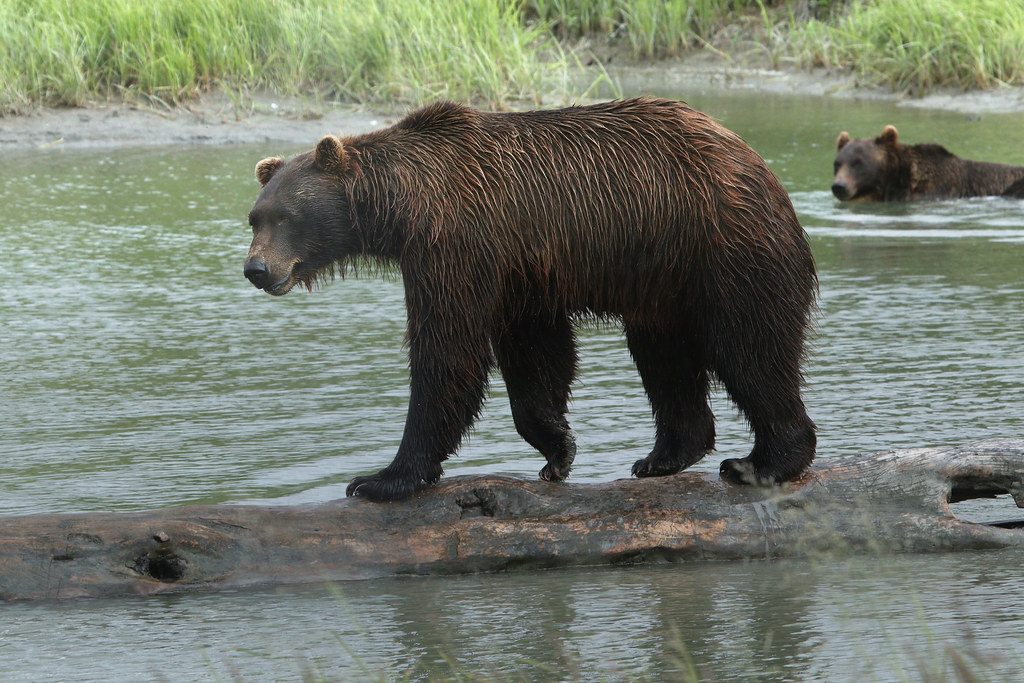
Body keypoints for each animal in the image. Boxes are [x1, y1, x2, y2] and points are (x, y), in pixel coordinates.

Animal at [244, 98, 818, 502]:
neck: (404, 209)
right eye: (255, 218)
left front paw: (380, 478)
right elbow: (535, 355)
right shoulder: (520, 271)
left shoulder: (457, 244)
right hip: (664, 279)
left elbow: (449, 352)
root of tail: (758, 163)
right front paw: (557, 449)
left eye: (286, 217)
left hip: (722, 247)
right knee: (665, 356)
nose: (256, 269)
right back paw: (664, 457)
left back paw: (764, 462)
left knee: (750, 347)